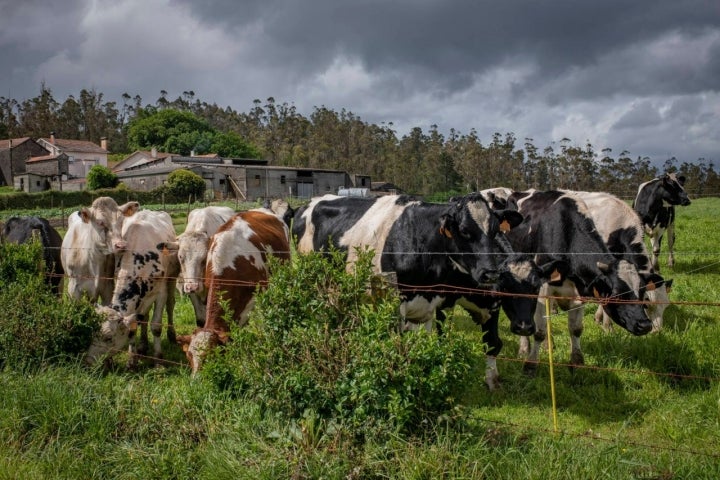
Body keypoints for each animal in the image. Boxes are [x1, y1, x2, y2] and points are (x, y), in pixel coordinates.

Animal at [86, 210, 180, 368]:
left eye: (108, 337)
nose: (87, 361)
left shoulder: (161, 292)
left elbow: (156, 326)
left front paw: (158, 360)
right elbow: (133, 327)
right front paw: (132, 360)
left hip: (172, 278)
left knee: (170, 305)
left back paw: (171, 335)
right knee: (144, 317)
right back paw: (143, 345)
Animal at [506, 190, 652, 372]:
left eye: (642, 293)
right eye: (617, 295)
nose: (645, 325)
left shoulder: (580, 288)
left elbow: (576, 329)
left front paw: (576, 361)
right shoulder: (542, 288)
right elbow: (539, 330)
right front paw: (531, 364)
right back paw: (525, 348)